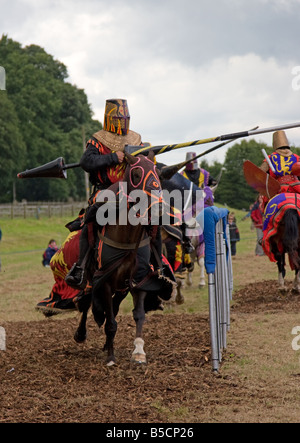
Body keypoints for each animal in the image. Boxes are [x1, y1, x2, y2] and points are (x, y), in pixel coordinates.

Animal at [74, 153, 176, 368]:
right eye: (136, 174)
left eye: (158, 173)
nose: (158, 207)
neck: (127, 235)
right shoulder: (104, 282)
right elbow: (111, 322)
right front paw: (111, 358)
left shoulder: (140, 281)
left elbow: (138, 315)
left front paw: (138, 353)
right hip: (91, 278)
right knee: (87, 302)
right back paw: (81, 334)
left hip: (122, 287)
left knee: (113, 306)